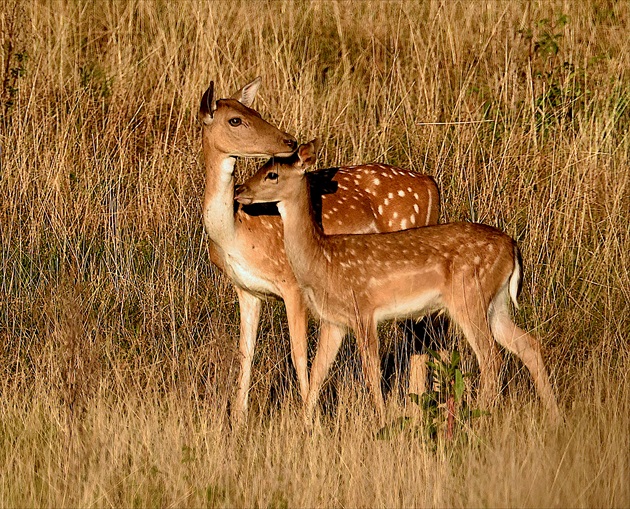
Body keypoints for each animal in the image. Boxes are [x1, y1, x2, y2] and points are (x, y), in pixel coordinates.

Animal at [201, 76, 440, 416]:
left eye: (255, 111)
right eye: (236, 119)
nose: (288, 140)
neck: (237, 233)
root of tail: (432, 185)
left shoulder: (292, 284)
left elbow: (300, 354)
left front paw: (307, 416)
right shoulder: (246, 289)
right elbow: (246, 352)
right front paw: (239, 417)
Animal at [236, 140, 564, 424]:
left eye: (272, 174)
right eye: (262, 165)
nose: (240, 189)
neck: (322, 259)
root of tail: (513, 247)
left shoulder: (363, 310)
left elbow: (372, 371)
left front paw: (381, 420)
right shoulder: (334, 321)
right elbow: (318, 370)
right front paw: (307, 424)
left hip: (469, 295)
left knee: (491, 357)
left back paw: (478, 416)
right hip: (496, 303)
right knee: (528, 345)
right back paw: (552, 415)